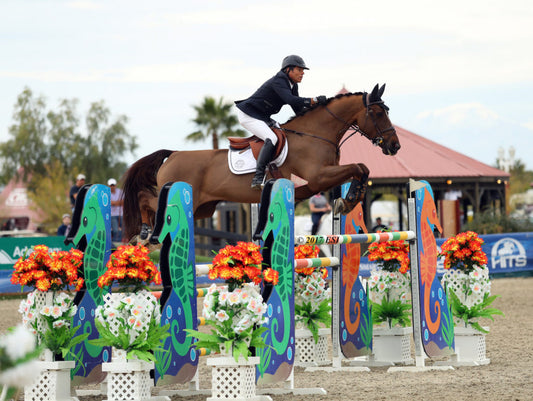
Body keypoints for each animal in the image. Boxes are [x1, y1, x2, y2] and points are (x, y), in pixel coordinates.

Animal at [122, 83, 400, 241]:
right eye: (378, 113)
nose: (395, 146)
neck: (315, 133)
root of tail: (172, 155)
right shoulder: (320, 175)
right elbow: (358, 167)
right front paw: (349, 200)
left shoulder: (317, 180)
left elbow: (360, 169)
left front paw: (348, 199)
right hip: (179, 195)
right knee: (145, 199)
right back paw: (144, 232)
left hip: (202, 208)